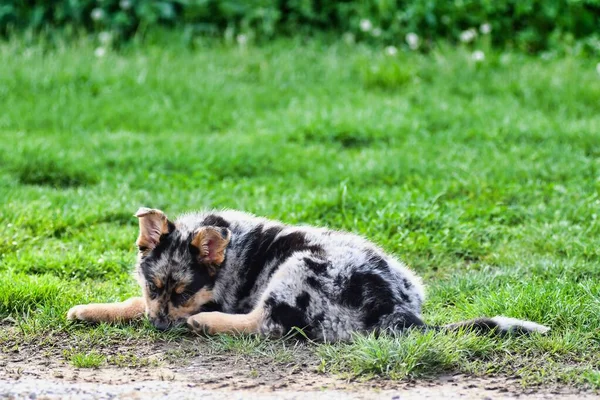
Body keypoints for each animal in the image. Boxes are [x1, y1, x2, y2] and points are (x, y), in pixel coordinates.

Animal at [68, 206, 552, 340]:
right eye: (155, 285)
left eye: (185, 292)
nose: (160, 327)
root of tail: (399, 312)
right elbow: (132, 301)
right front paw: (88, 310)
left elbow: (133, 305)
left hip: (299, 267)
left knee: (267, 324)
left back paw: (205, 324)